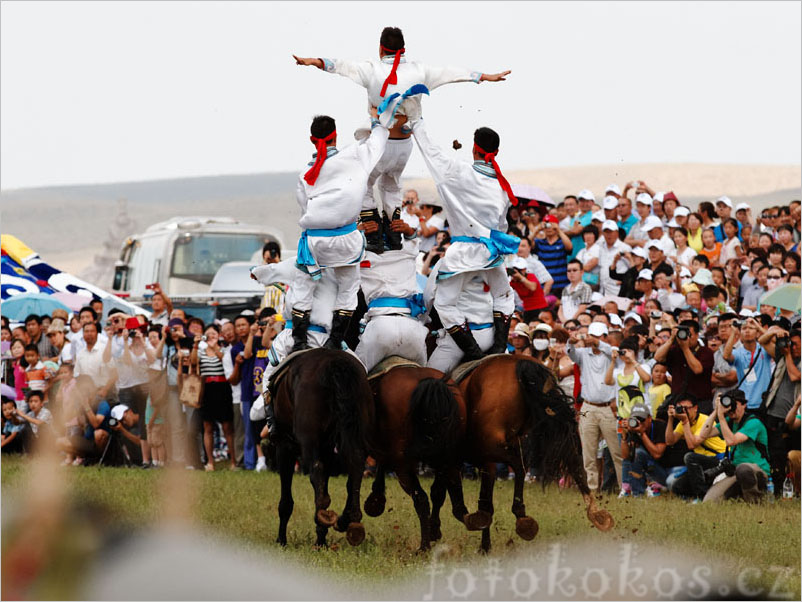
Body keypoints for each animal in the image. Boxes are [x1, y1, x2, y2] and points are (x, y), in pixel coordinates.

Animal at [268, 346, 370, 548]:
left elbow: (286, 500)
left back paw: (324, 520)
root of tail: (335, 363)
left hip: (308, 440)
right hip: (352, 433)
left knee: (316, 471)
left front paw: (281, 540)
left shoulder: (285, 446)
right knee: (355, 465)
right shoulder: (328, 448)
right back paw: (350, 521)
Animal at [362, 364, 482, 552]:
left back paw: (424, 546)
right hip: (448, 459)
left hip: (405, 465)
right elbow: (439, 493)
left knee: (421, 499)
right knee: (449, 498)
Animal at [444, 354, 612, 552]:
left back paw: (523, 519)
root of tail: (520, 362)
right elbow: (485, 503)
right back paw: (596, 513)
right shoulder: (485, 463)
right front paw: (485, 545)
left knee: (519, 464)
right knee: (573, 463)